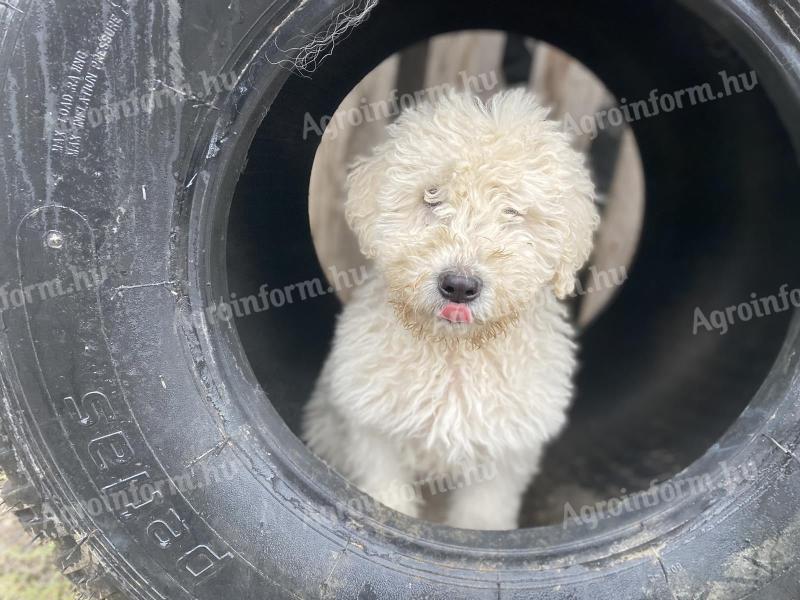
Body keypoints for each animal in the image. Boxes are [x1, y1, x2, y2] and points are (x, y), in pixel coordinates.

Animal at [304, 89, 596, 528]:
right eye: (432, 196)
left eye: (512, 210)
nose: (459, 286)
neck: (454, 349)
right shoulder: (374, 431)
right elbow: (387, 496)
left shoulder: (504, 453)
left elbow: (481, 517)